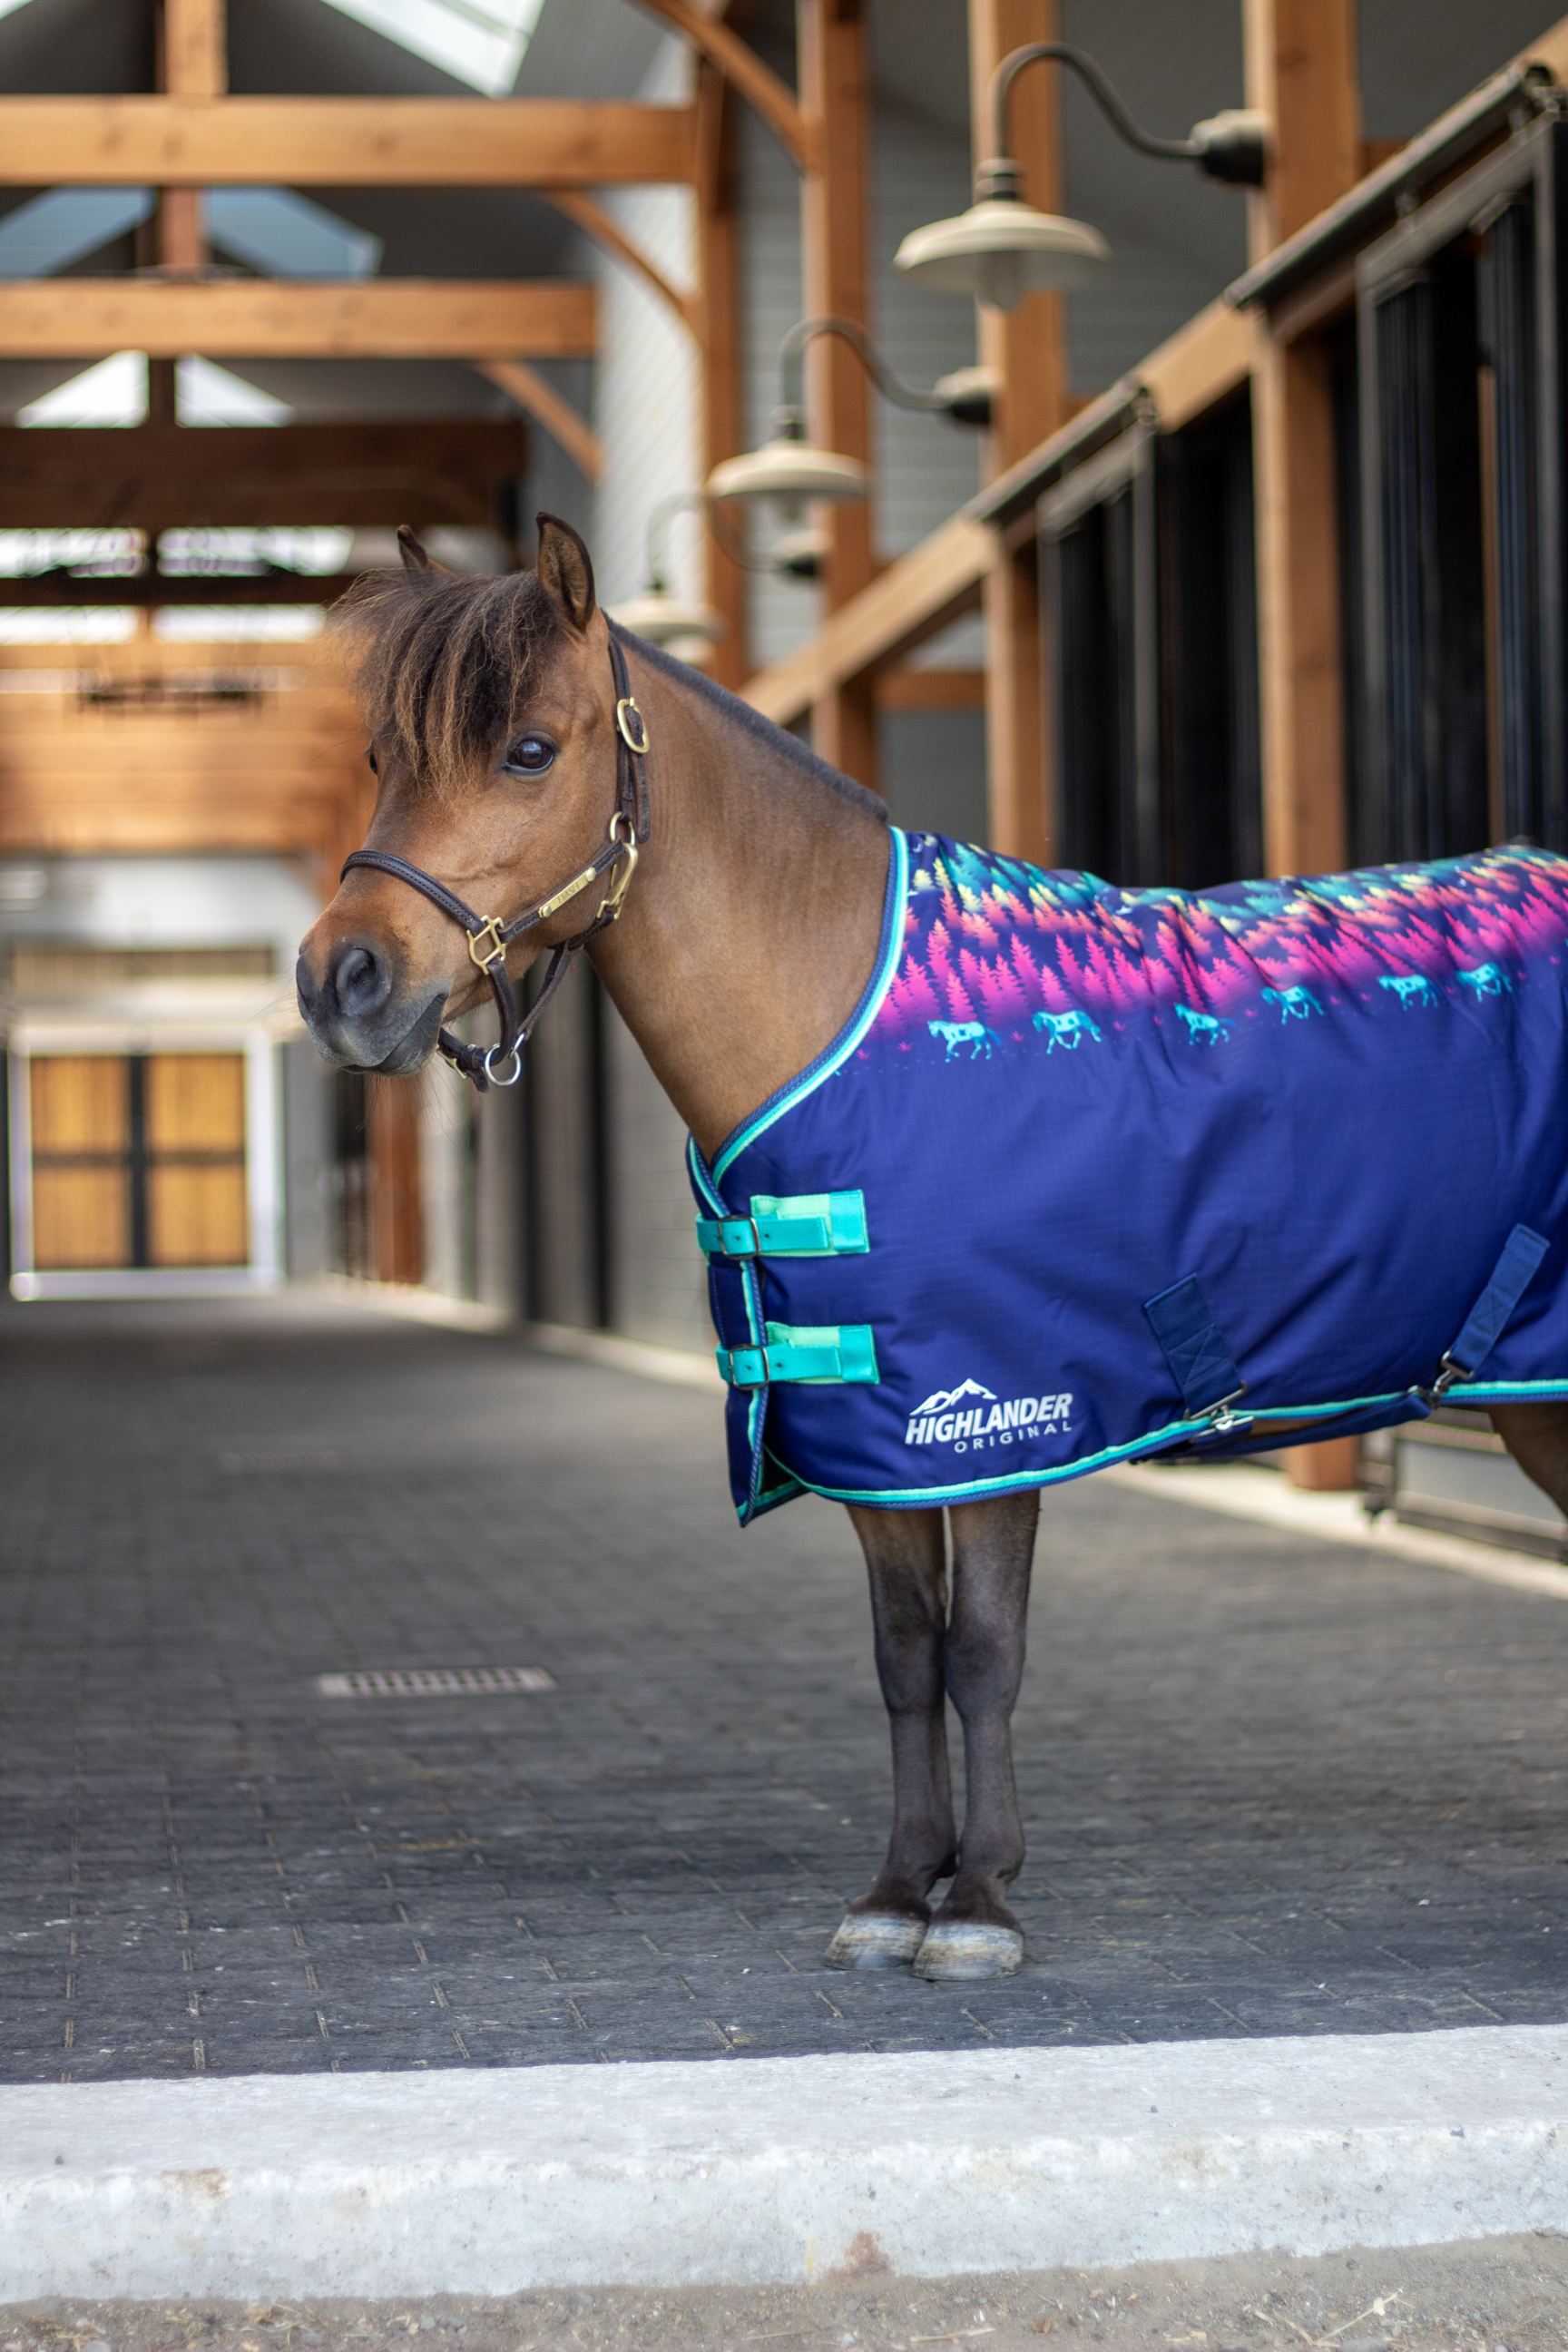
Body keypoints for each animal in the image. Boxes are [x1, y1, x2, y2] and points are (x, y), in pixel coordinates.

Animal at [297, 515, 1568, 1985]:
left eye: (529, 749)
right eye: (382, 760)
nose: (340, 980)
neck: (841, 1020)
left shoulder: (1000, 1423)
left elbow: (984, 1653)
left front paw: (982, 1903)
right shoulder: (872, 1441)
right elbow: (907, 1655)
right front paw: (901, 1887)